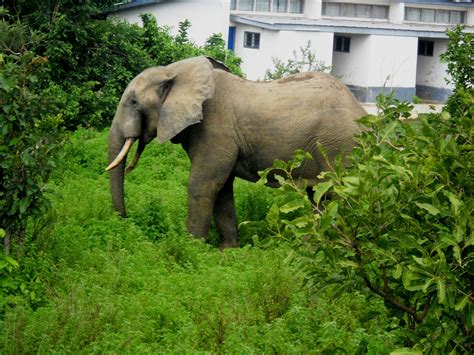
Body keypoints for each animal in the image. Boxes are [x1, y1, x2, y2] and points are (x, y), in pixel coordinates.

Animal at [107, 56, 366, 250]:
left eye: (133, 102)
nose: (125, 220)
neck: (174, 71)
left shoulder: (215, 131)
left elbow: (203, 184)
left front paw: (191, 248)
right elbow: (222, 188)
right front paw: (227, 251)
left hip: (339, 147)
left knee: (335, 194)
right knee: (319, 197)